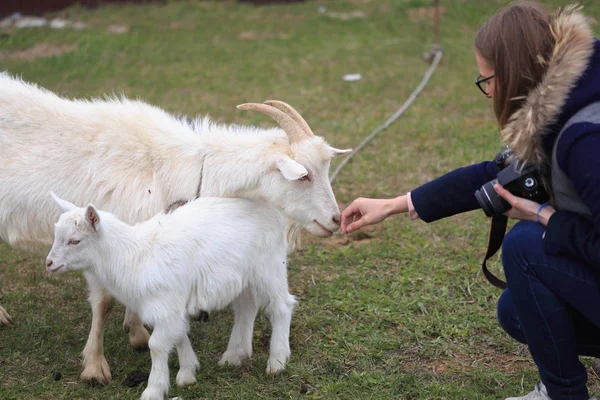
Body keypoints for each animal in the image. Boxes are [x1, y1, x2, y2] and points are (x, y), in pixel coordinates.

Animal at [46, 193, 298, 400]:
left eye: (75, 240)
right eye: (57, 235)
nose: (49, 263)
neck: (132, 255)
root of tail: (269, 207)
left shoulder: (165, 302)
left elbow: (157, 344)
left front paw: (154, 390)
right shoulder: (171, 306)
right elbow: (179, 333)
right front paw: (188, 372)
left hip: (269, 266)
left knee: (282, 306)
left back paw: (277, 361)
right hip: (241, 276)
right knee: (247, 307)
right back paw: (234, 355)